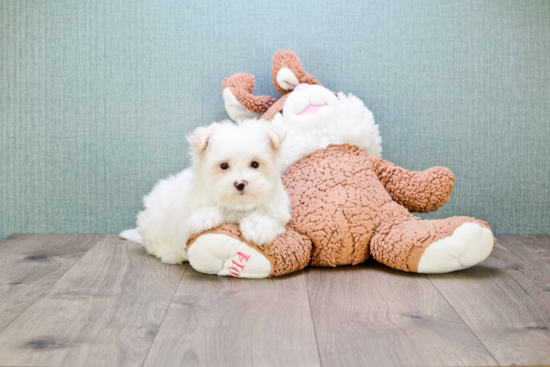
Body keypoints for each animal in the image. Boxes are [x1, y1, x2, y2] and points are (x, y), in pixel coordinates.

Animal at [120, 119, 292, 266]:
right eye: (224, 166)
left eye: (255, 164)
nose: (240, 183)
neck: (237, 205)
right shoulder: (184, 219)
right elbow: (193, 221)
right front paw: (204, 218)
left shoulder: (278, 215)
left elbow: (268, 218)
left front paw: (256, 227)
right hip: (156, 217)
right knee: (153, 243)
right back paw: (170, 253)